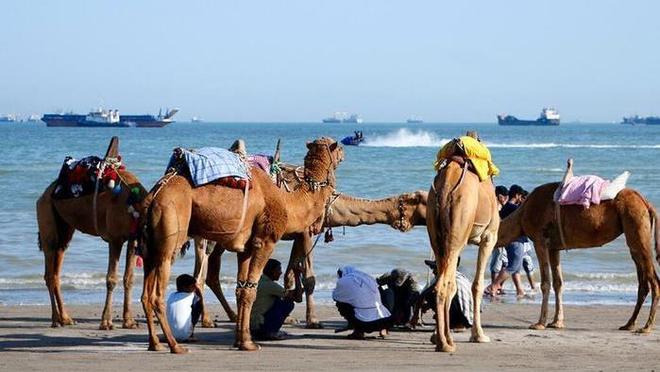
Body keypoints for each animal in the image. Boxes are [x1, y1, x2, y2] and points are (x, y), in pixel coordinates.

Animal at [36, 137, 146, 328]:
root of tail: (44, 194)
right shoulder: (115, 238)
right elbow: (111, 278)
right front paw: (106, 322)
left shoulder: (132, 238)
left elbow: (129, 278)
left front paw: (129, 321)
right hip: (46, 218)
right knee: (49, 271)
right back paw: (56, 319)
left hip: (64, 230)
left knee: (56, 270)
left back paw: (65, 318)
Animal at [141, 137, 342, 352]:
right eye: (338, 148)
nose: (344, 153)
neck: (287, 202)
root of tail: (155, 194)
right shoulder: (265, 240)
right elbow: (251, 290)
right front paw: (249, 343)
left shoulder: (245, 249)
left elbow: (241, 290)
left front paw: (241, 340)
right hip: (170, 229)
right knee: (158, 293)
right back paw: (175, 346)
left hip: (150, 244)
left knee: (146, 294)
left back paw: (155, 344)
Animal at [193, 190, 428, 326]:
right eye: (418, 201)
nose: (407, 225)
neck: (332, 207)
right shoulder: (306, 230)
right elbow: (309, 278)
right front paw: (312, 320)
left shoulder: (299, 233)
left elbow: (290, 272)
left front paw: (292, 311)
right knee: (201, 273)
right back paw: (208, 320)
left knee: (210, 273)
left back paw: (231, 316)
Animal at [426, 134, 498, 352]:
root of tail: (445, 187)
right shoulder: (489, 237)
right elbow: (477, 284)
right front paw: (479, 335)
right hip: (457, 232)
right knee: (445, 284)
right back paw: (446, 344)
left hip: (436, 233)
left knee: (442, 282)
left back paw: (442, 339)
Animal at [498, 159, 656, 332]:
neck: (521, 215)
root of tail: (646, 203)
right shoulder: (554, 247)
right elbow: (558, 283)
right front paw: (556, 322)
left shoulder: (540, 241)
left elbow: (545, 283)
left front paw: (539, 323)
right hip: (634, 235)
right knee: (643, 280)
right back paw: (629, 324)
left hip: (636, 226)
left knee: (653, 279)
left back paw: (646, 327)